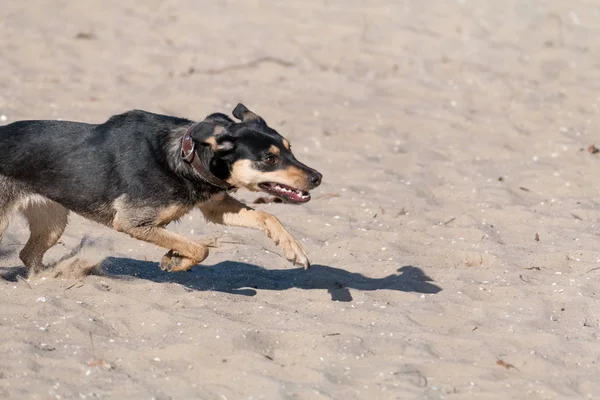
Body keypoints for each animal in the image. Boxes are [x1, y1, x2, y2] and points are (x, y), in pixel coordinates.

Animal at [0, 103, 324, 276]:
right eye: (269, 159)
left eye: (290, 149)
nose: (318, 177)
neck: (183, 154)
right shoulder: (132, 222)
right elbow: (201, 248)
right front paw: (177, 261)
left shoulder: (216, 206)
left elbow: (268, 217)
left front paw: (293, 249)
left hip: (52, 222)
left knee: (28, 256)